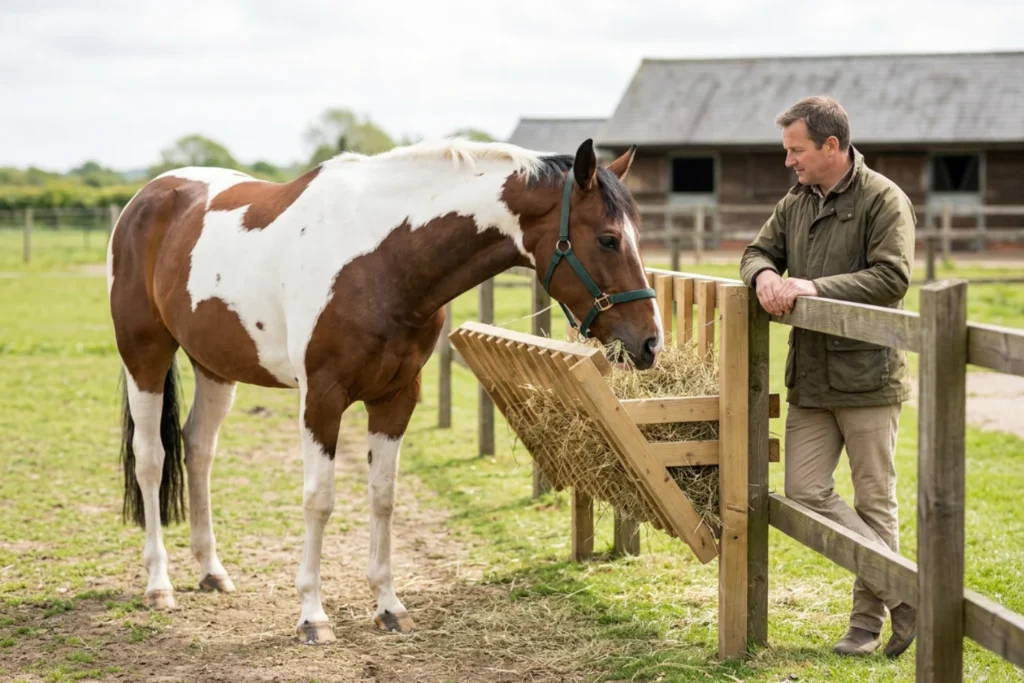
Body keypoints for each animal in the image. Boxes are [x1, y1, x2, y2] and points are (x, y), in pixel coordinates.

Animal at [105, 136, 663, 644]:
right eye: (608, 239)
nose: (650, 342)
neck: (381, 260)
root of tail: (148, 197)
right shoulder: (321, 398)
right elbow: (319, 500)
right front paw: (313, 616)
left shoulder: (396, 397)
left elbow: (383, 497)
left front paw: (389, 606)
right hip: (145, 356)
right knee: (152, 458)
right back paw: (159, 585)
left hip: (215, 367)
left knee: (199, 449)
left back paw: (211, 571)